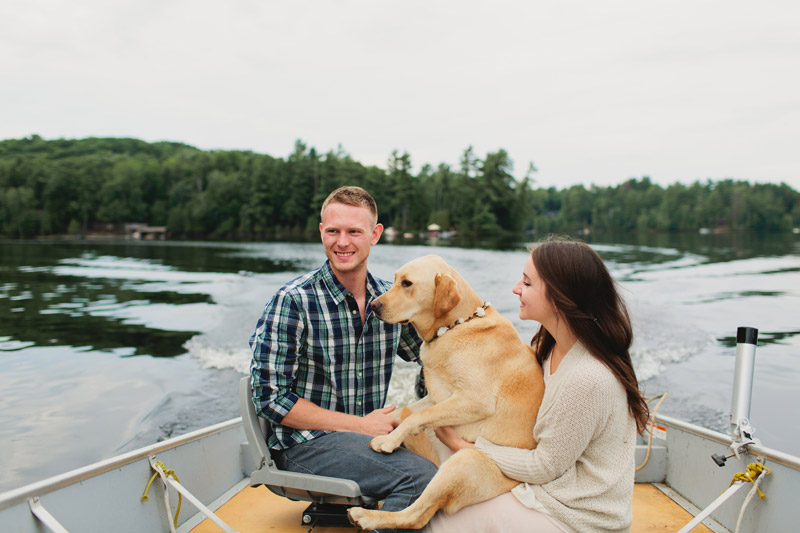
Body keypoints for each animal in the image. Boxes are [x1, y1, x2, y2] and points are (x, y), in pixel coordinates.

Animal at [346, 256, 544, 528]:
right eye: (395, 279)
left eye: (407, 283)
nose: (373, 305)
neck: (455, 326)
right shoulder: (434, 395)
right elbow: (405, 412)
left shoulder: (475, 399)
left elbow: (418, 416)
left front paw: (388, 440)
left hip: (464, 461)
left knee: (415, 516)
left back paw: (367, 516)